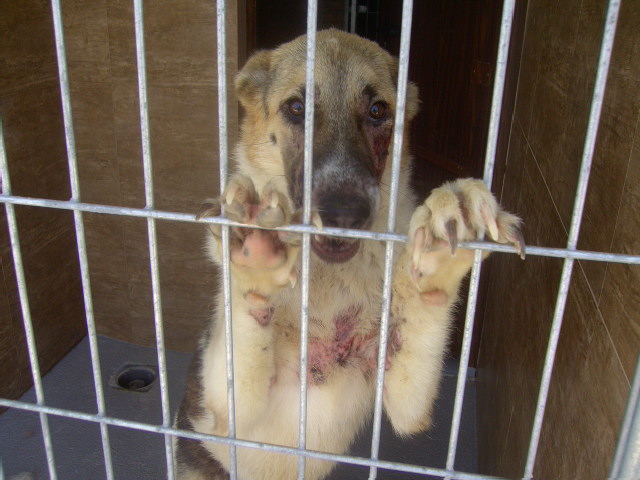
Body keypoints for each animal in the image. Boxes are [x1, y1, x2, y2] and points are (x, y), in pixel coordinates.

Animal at [174, 29, 524, 480]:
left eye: (377, 111)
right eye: (297, 108)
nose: (343, 213)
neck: (326, 281)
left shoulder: (406, 398)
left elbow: (424, 305)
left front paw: (442, 242)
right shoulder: (224, 407)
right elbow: (246, 319)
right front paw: (253, 253)